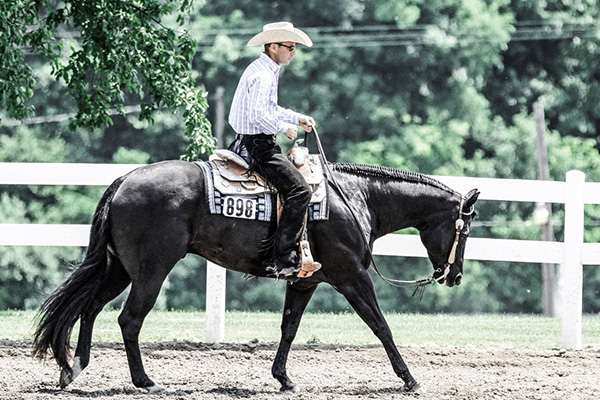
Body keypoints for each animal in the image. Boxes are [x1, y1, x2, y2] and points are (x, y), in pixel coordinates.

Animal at [32, 157, 480, 394]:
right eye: (465, 228)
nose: (455, 276)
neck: (355, 200)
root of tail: (125, 179)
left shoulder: (305, 280)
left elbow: (289, 328)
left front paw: (283, 378)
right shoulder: (352, 276)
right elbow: (381, 325)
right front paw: (409, 378)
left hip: (119, 268)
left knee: (89, 307)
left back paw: (74, 368)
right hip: (150, 271)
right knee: (129, 319)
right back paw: (144, 381)